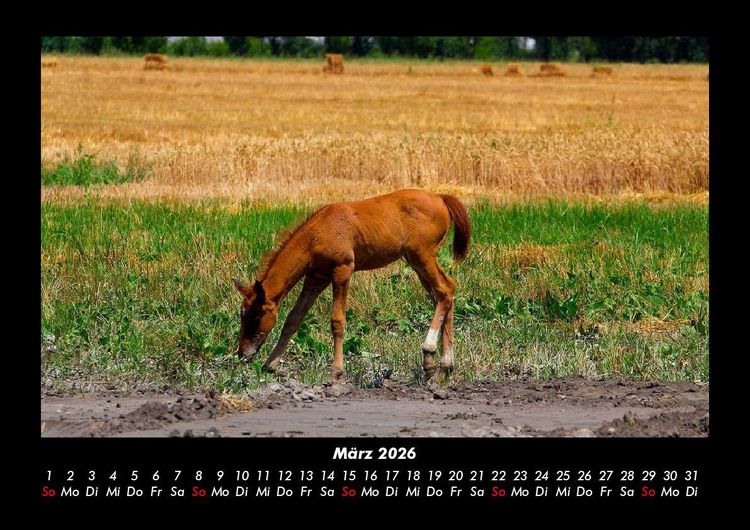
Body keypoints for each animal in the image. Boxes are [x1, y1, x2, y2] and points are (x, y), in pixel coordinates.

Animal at [232, 189, 470, 380]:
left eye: (256, 315)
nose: (242, 353)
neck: (317, 234)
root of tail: (439, 197)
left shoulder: (343, 270)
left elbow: (337, 320)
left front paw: (336, 371)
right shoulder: (315, 278)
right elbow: (293, 318)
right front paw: (270, 364)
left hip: (422, 256)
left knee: (444, 291)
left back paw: (429, 353)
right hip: (416, 261)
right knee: (445, 292)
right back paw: (443, 366)